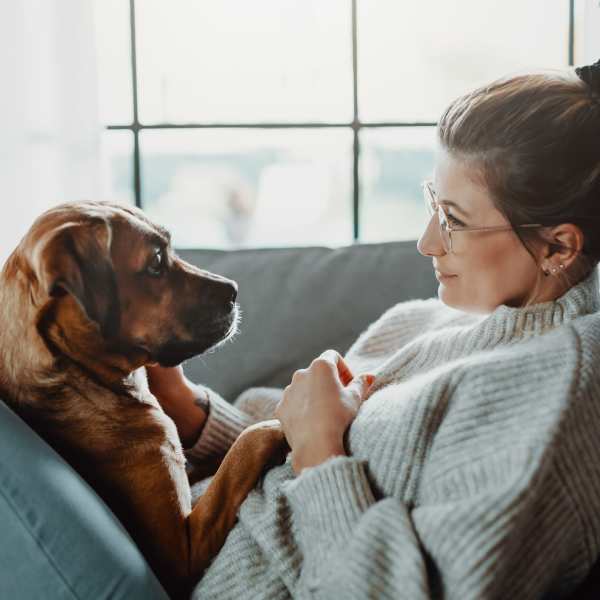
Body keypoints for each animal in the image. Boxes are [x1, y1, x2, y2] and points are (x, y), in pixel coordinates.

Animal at [0, 203, 288, 600]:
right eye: (155, 262)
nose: (234, 290)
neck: (81, 379)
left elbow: (220, 459)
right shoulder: (182, 552)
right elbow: (244, 448)